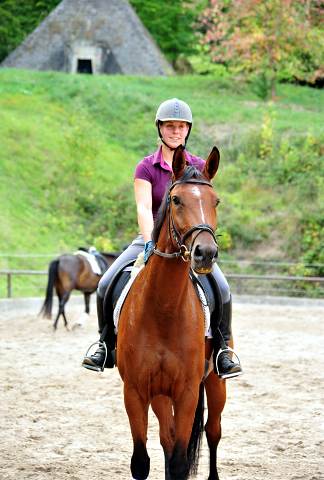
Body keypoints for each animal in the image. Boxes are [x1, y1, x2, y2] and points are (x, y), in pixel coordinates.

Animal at [117, 146, 227, 480]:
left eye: (215, 201)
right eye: (176, 199)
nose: (206, 253)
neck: (164, 308)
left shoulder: (188, 391)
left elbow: (179, 463)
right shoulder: (136, 391)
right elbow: (141, 462)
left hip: (215, 382)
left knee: (213, 431)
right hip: (160, 394)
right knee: (167, 437)